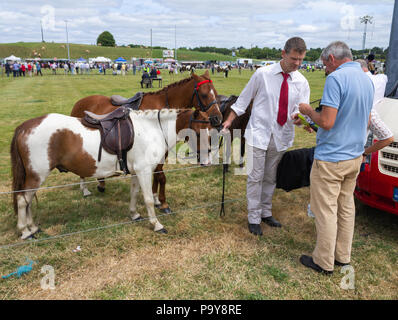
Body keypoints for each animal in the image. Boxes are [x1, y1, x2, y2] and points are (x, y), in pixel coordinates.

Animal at [10, 109, 213, 239]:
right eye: (197, 132)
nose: (207, 160)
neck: (152, 130)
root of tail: (24, 127)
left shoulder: (136, 172)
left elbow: (134, 194)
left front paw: (134, 214)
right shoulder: (144, 170)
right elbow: (148, 199)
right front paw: (156, 225)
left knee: (27, 201)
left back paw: (33, 228)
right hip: (37, 175)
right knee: (22, 200)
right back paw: (25, 231)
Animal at [70, 71, 222, 214]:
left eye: (216, 93)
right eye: (204, 94)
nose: (217, 118)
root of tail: (79, 102)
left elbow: (157, 176)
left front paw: (156, 199)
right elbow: (161, 176)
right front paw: (163, 203)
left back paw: (101, 183)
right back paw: (84, 188)